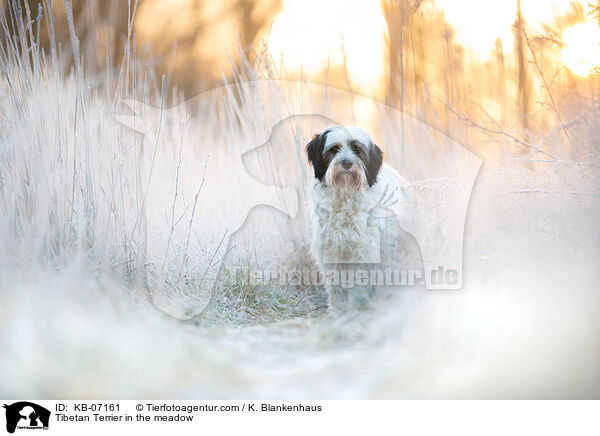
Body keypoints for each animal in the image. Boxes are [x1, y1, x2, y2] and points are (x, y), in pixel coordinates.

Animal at [304, 125, 418, 314]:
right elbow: (336, 286)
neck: (345, 195)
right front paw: (338, 311)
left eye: (357, 150)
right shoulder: (332, 252)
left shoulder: (365, 252)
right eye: (334, 149)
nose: (346, 163)